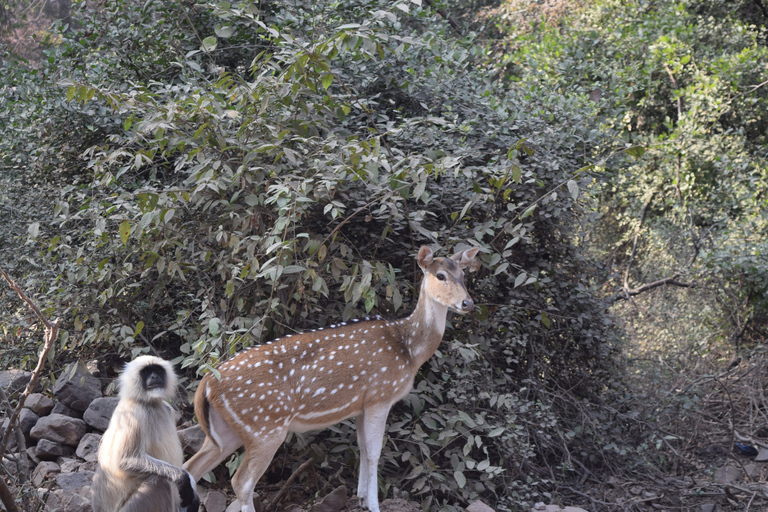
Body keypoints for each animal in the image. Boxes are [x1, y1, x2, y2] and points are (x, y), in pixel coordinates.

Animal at [92, 356, 200, 512]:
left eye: (158, 370)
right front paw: (184, 479)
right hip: (136, 506)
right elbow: (125, 460)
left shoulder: (167, 409)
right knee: (160, 482)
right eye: (147, 371)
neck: (149, 404)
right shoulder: (133, 414)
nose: (154, 377)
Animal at [184, 246, 480, 510]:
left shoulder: (361, 406)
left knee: (191, 467)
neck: (409, 350)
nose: (468, 303)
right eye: (440, 275)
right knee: (241, 481)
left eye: (463, 275)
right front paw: (374, 505)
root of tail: (206, 384)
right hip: (265, 426)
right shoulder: (380, 395)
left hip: (226, 431)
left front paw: (361, 498)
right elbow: (375, 452)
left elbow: (362, 448)